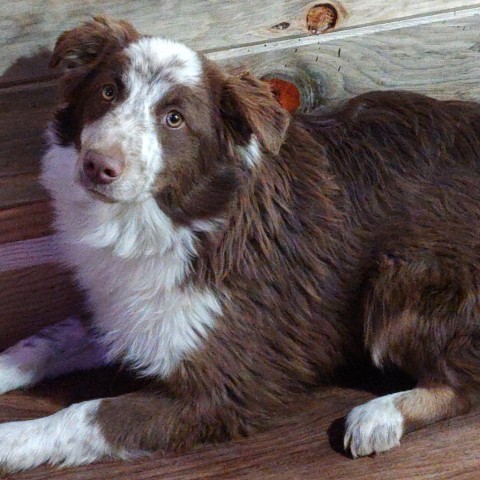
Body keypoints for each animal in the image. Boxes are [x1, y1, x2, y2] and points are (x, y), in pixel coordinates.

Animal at [0, 15, 480, 472]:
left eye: (174, 118)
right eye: (108, 92)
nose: (98, 165)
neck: (176, 220)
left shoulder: (219, 390)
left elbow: (83, 415)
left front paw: (11, 440)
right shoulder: (124, 307)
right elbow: (44, 340)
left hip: (399, 277)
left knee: (464, 385)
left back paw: (379, 416)